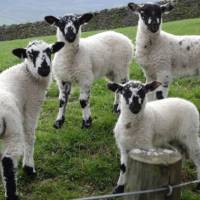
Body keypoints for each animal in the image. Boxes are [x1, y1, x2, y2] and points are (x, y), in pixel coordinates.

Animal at [0, 39, 64, 199]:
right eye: (30, 54)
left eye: (50, 51)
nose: (45, 69)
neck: (28, 75)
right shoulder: (32, 105)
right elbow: (29, 135)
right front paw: (29, 168)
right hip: (12, 129)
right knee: (8, 160)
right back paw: (12, 195)